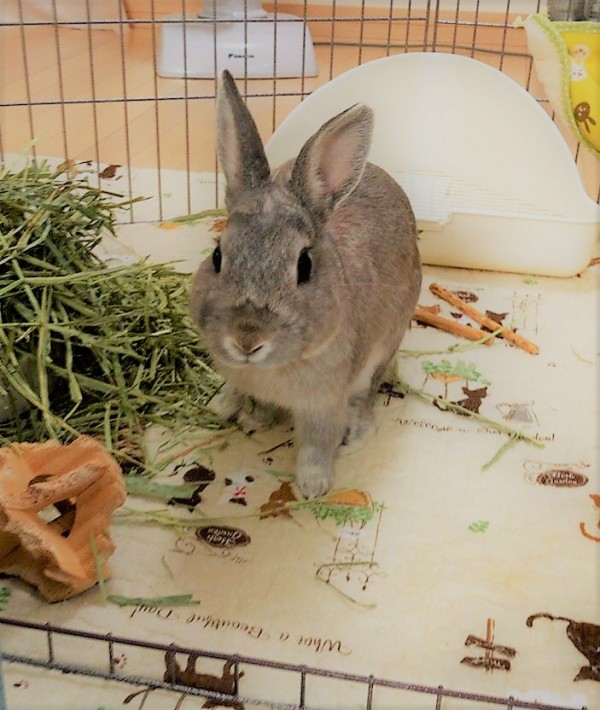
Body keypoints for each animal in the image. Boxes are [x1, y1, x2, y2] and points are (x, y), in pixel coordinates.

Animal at [190, 70, 422, 499]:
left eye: (304, 265)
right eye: (217, 255)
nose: (246, 339)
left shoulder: (324, 405)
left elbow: (317, 445)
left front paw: (313, 487)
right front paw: (246, 416)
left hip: (385, 347)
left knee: (368, 393)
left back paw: (357, 433)